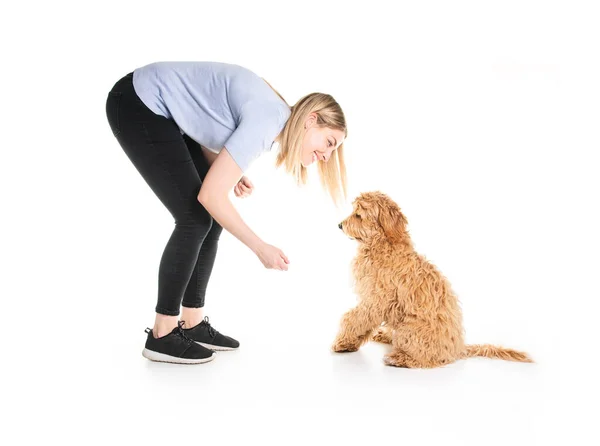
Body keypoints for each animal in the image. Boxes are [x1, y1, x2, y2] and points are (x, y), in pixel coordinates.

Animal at [332, 190, 536, 368]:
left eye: (358, 215)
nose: (340, 225)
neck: (383, 244)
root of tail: (457, 349)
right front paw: (348, 343)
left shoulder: (375, 299)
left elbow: (353, 318)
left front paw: (342, 342)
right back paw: (385, 336)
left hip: (410, 330)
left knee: (426, 358)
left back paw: (399, 358)